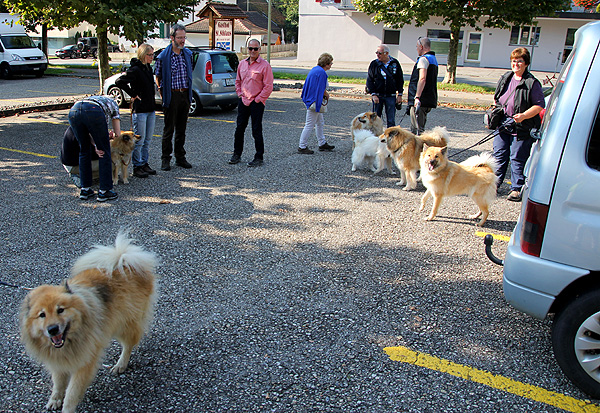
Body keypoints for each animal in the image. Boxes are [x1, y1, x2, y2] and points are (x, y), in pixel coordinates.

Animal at [19, 232, 157, 412]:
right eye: (42, 315)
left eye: (60, 310)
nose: (53, 329)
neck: (70, 340)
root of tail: (124, 262)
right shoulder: (59, 362)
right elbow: (58, 383)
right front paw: (55, 399)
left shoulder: (85, 363)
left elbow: (72, 393)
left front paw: (67, 408)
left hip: (123, 325)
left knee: (128, 345)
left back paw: (120, 364)